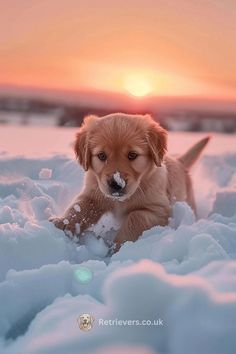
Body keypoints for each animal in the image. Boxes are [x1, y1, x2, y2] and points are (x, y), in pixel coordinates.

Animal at [50, 112, 210, 249]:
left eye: (132, 155)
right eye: (101, 156)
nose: (116, 183)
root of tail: (179, 161)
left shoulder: (159, 209)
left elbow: (136, 217)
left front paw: (119, 246)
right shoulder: (94, 193)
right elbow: (80, 207)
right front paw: (64, 223)